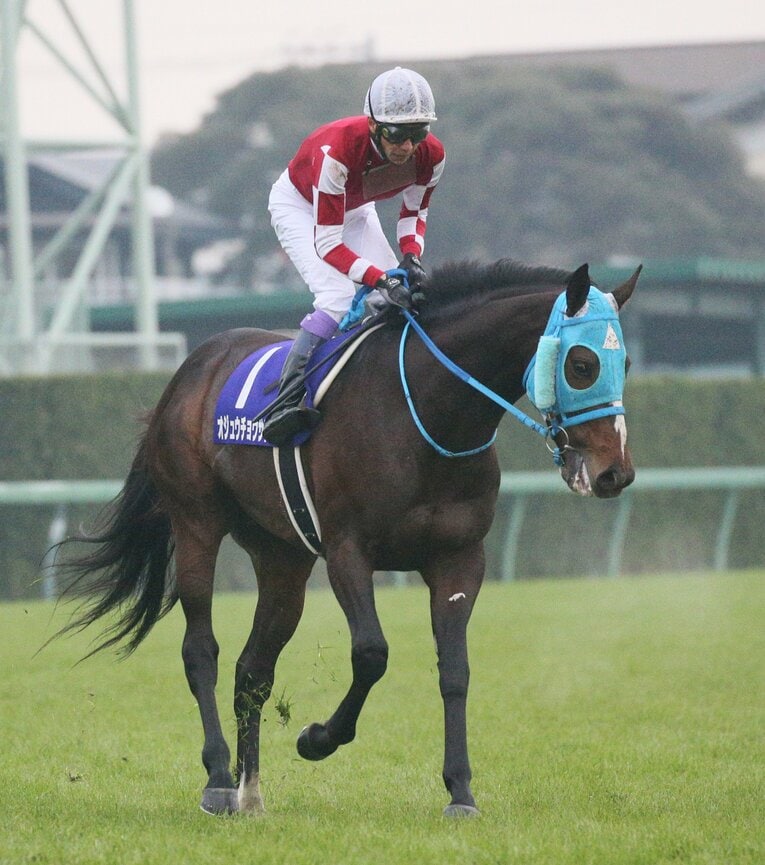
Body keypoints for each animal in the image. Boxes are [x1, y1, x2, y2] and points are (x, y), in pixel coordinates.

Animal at [55, 257, 640, 818]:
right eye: (583, 364)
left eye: (627, 364)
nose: (615, 473)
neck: (428, 412)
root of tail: (190, 371)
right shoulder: (347, 551)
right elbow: (372, 654)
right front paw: (317, 738)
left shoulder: (459, 557)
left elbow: (455, 670)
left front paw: (460, 791)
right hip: (196, 522)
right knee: (201, 650)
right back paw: (220, 780)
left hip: (282, 556)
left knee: (252, 671)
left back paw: (250, 792)